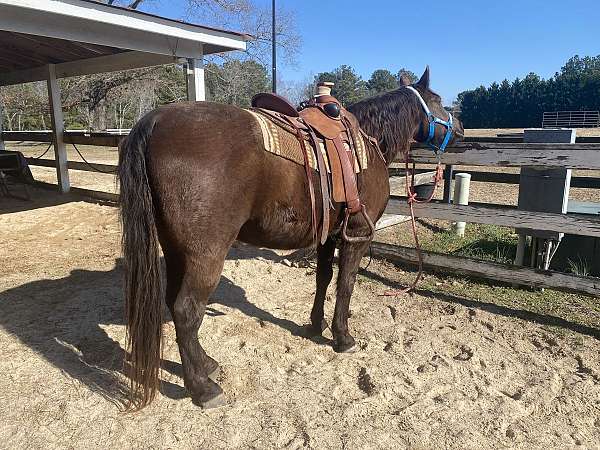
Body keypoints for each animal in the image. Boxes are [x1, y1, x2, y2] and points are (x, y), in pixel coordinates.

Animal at [117, 66, 464, 408]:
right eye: (437, 100)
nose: (460, 127)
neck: (368, 141)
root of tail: (155, 120)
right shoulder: (356, 235)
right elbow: (346, 284)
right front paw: (342, 337)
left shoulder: (328, 235)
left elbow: (323, 279)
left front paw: (315, 325)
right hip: (205, 255)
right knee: (187, 311)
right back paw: (203, 388)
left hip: (176, 250)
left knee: (174, 305)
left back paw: (206, 364)